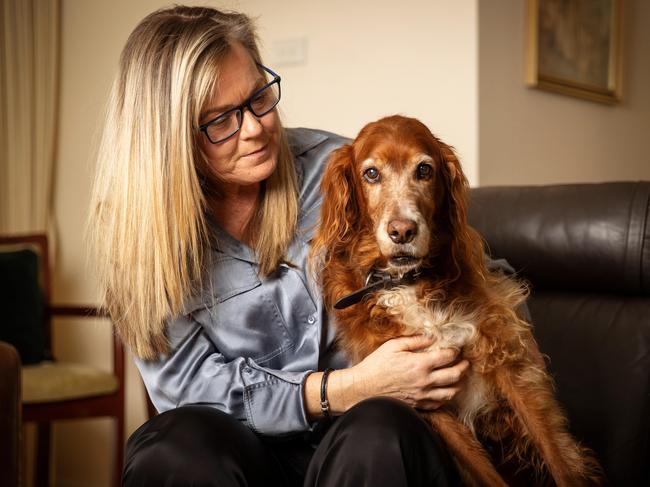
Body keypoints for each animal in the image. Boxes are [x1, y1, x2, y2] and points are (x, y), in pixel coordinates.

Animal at [312, 117, 600, 487]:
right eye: (371, 173)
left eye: (424, 170)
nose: (402, 231)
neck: (407, 281)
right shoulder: (421, 393)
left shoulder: (505, 359)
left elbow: (556, 455)